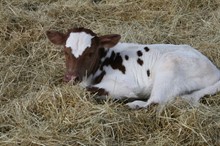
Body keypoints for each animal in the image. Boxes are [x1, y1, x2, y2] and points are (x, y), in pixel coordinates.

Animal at [46, 27, 220, 109]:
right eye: (65, 51)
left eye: (90, 52)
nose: (72, 77)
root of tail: (215, 70)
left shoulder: (125, 86)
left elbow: (87, 91)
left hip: (170, 67)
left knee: (155, 102)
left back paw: (134, 104)